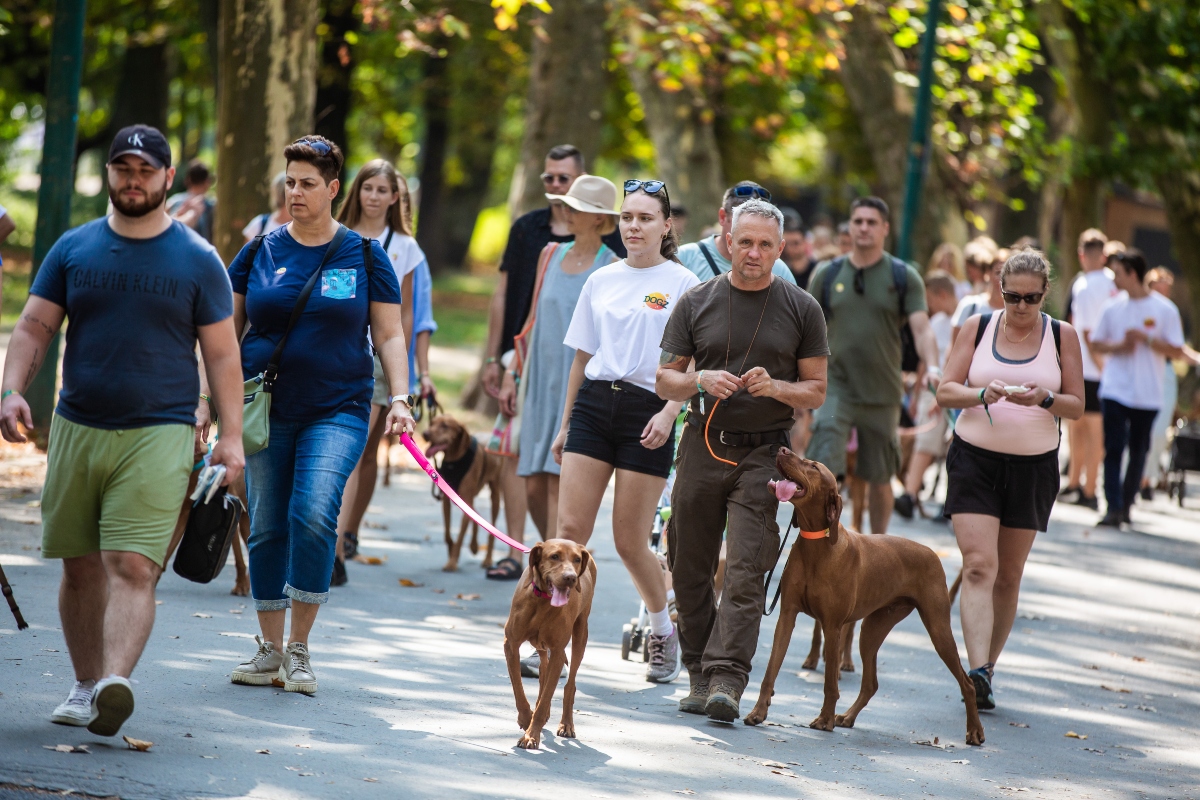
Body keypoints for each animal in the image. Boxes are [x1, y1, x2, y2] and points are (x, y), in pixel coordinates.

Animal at [424, 419, 504, 568]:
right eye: (432, 423)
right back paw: (474, 546)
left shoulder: (466, 499)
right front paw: (451, 551)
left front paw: (452, 562)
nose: (425, 434)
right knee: (476, 514)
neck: (454, 460)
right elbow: (447, 533)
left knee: (491, 529)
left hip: (494, 494)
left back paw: (487, 559)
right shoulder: (447, 501)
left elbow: (460, 537)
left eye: (445, 426)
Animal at [501, 537, 595, 753]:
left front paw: (531, 735)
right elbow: (518, 688)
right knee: (543, 672)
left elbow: (546, 698)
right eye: (554, 556)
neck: (542, 601)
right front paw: (526, 718)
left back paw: (566, 724)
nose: (570, 578)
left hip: (580, 635)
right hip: (542, 646)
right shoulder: (511, 645)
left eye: (577, 559)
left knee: (569, 684)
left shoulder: (558, 651)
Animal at [744, 448, 988, 748]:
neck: (818, 543)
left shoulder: (832, 626)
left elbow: (830, 682)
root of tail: (931, 552)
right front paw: (758, 712)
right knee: (871, 683)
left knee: (966, 682)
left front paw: (824, 720)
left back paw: (975, 731)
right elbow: (770, 670)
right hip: (872, 629)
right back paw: (848, 717)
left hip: (938, 627)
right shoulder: (787, 616)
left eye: (813, 466)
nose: (782, 449)